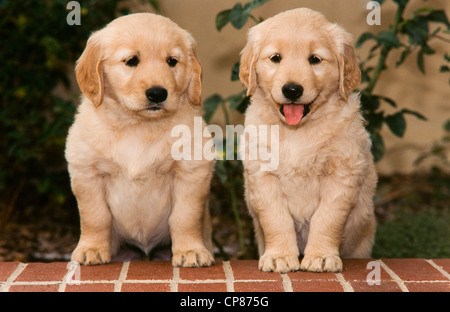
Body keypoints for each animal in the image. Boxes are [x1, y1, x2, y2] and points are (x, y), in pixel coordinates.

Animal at [65, 13, 216, 266]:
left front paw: (190, 250)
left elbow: (184, 216)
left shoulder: (192, 170)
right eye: (131, 61)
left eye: (172, 61)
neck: (138, 126)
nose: (157, 94)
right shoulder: (87, 172)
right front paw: (92, 248)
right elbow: (95, 216)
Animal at [239, 8, 376, 272]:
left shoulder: (342, 174)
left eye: (315, 59)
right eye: (275, 58)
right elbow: (276, 219)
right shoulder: (263, 176)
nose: (292, 90)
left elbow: (327, 218)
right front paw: (280, 256)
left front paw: (321, 256)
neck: (297, 131)